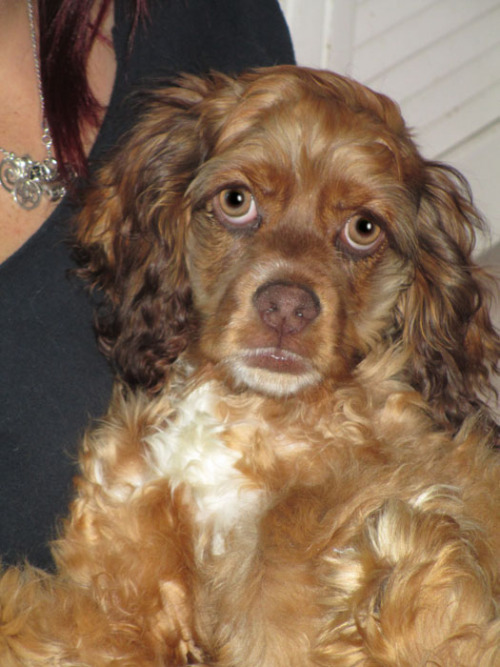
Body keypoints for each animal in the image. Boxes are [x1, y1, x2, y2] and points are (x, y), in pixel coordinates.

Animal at [0, 66, 500, 667]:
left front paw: (399, 555)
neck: (247, 412)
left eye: (364, 229)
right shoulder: (115, 609)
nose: (287, 307)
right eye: (236, 200)